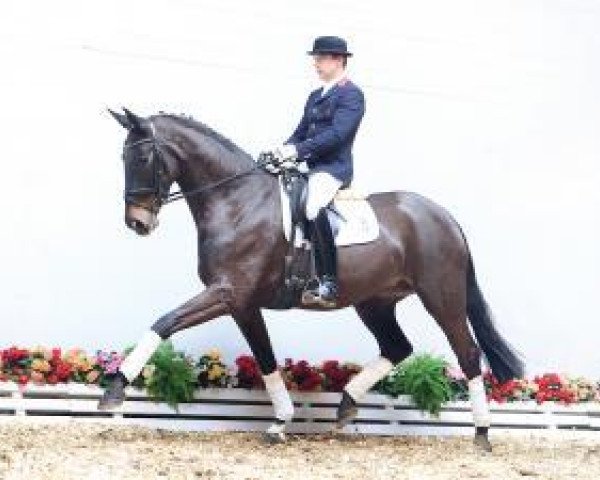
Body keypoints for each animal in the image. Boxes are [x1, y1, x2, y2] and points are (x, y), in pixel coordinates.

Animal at [101, 108, 524, 450]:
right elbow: (266, 359)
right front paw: (280, 423)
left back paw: (482, 435)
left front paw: (115, 388)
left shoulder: (226, 292)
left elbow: (164, 322)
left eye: (142, 156)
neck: (237, 201)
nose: (137, 222)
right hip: (375, 301)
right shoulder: (242, 303)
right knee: (397, 347)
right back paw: (347, 405)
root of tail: (443, 216)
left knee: (467, 353)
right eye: (121, 156)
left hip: (441, 296)